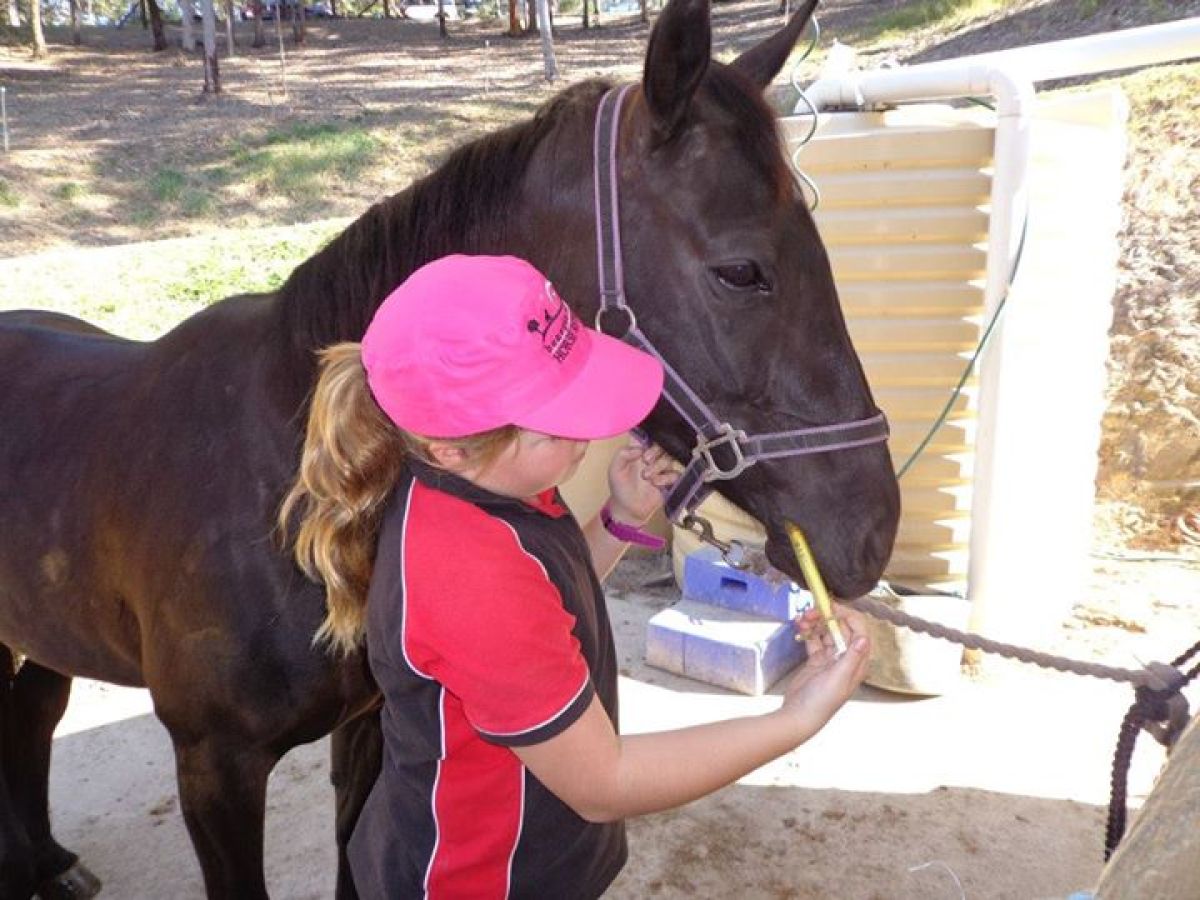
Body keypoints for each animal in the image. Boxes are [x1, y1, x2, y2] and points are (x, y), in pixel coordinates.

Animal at [0, 0, 900, 896]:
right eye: (742, 270)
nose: (874, 529)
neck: (283, 480)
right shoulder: (214, 768)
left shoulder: (367, 727)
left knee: (33, 715)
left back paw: (46, 861)